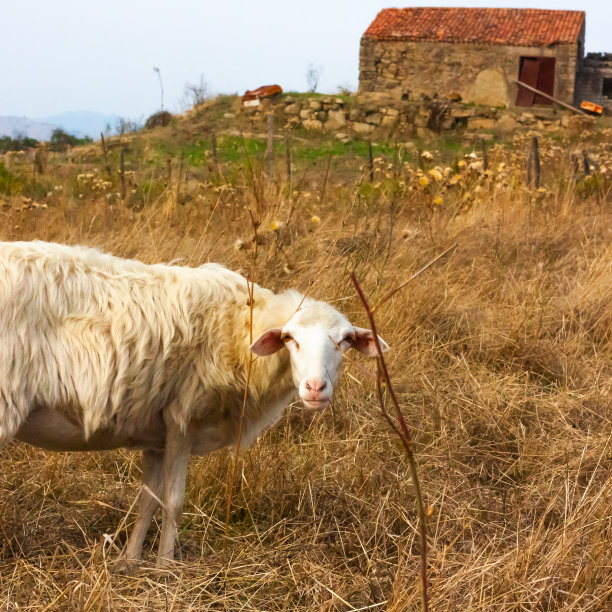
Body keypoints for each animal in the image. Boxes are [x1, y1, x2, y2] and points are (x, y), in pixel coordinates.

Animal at [1, 239, 388, 568]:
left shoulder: (154, 433)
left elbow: (147, 500)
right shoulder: (182, 419)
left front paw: (130, 562)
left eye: (346, 341)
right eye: (289, 338)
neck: (239, 331)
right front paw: (165, 569)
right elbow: (173, 503)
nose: (315, 387)